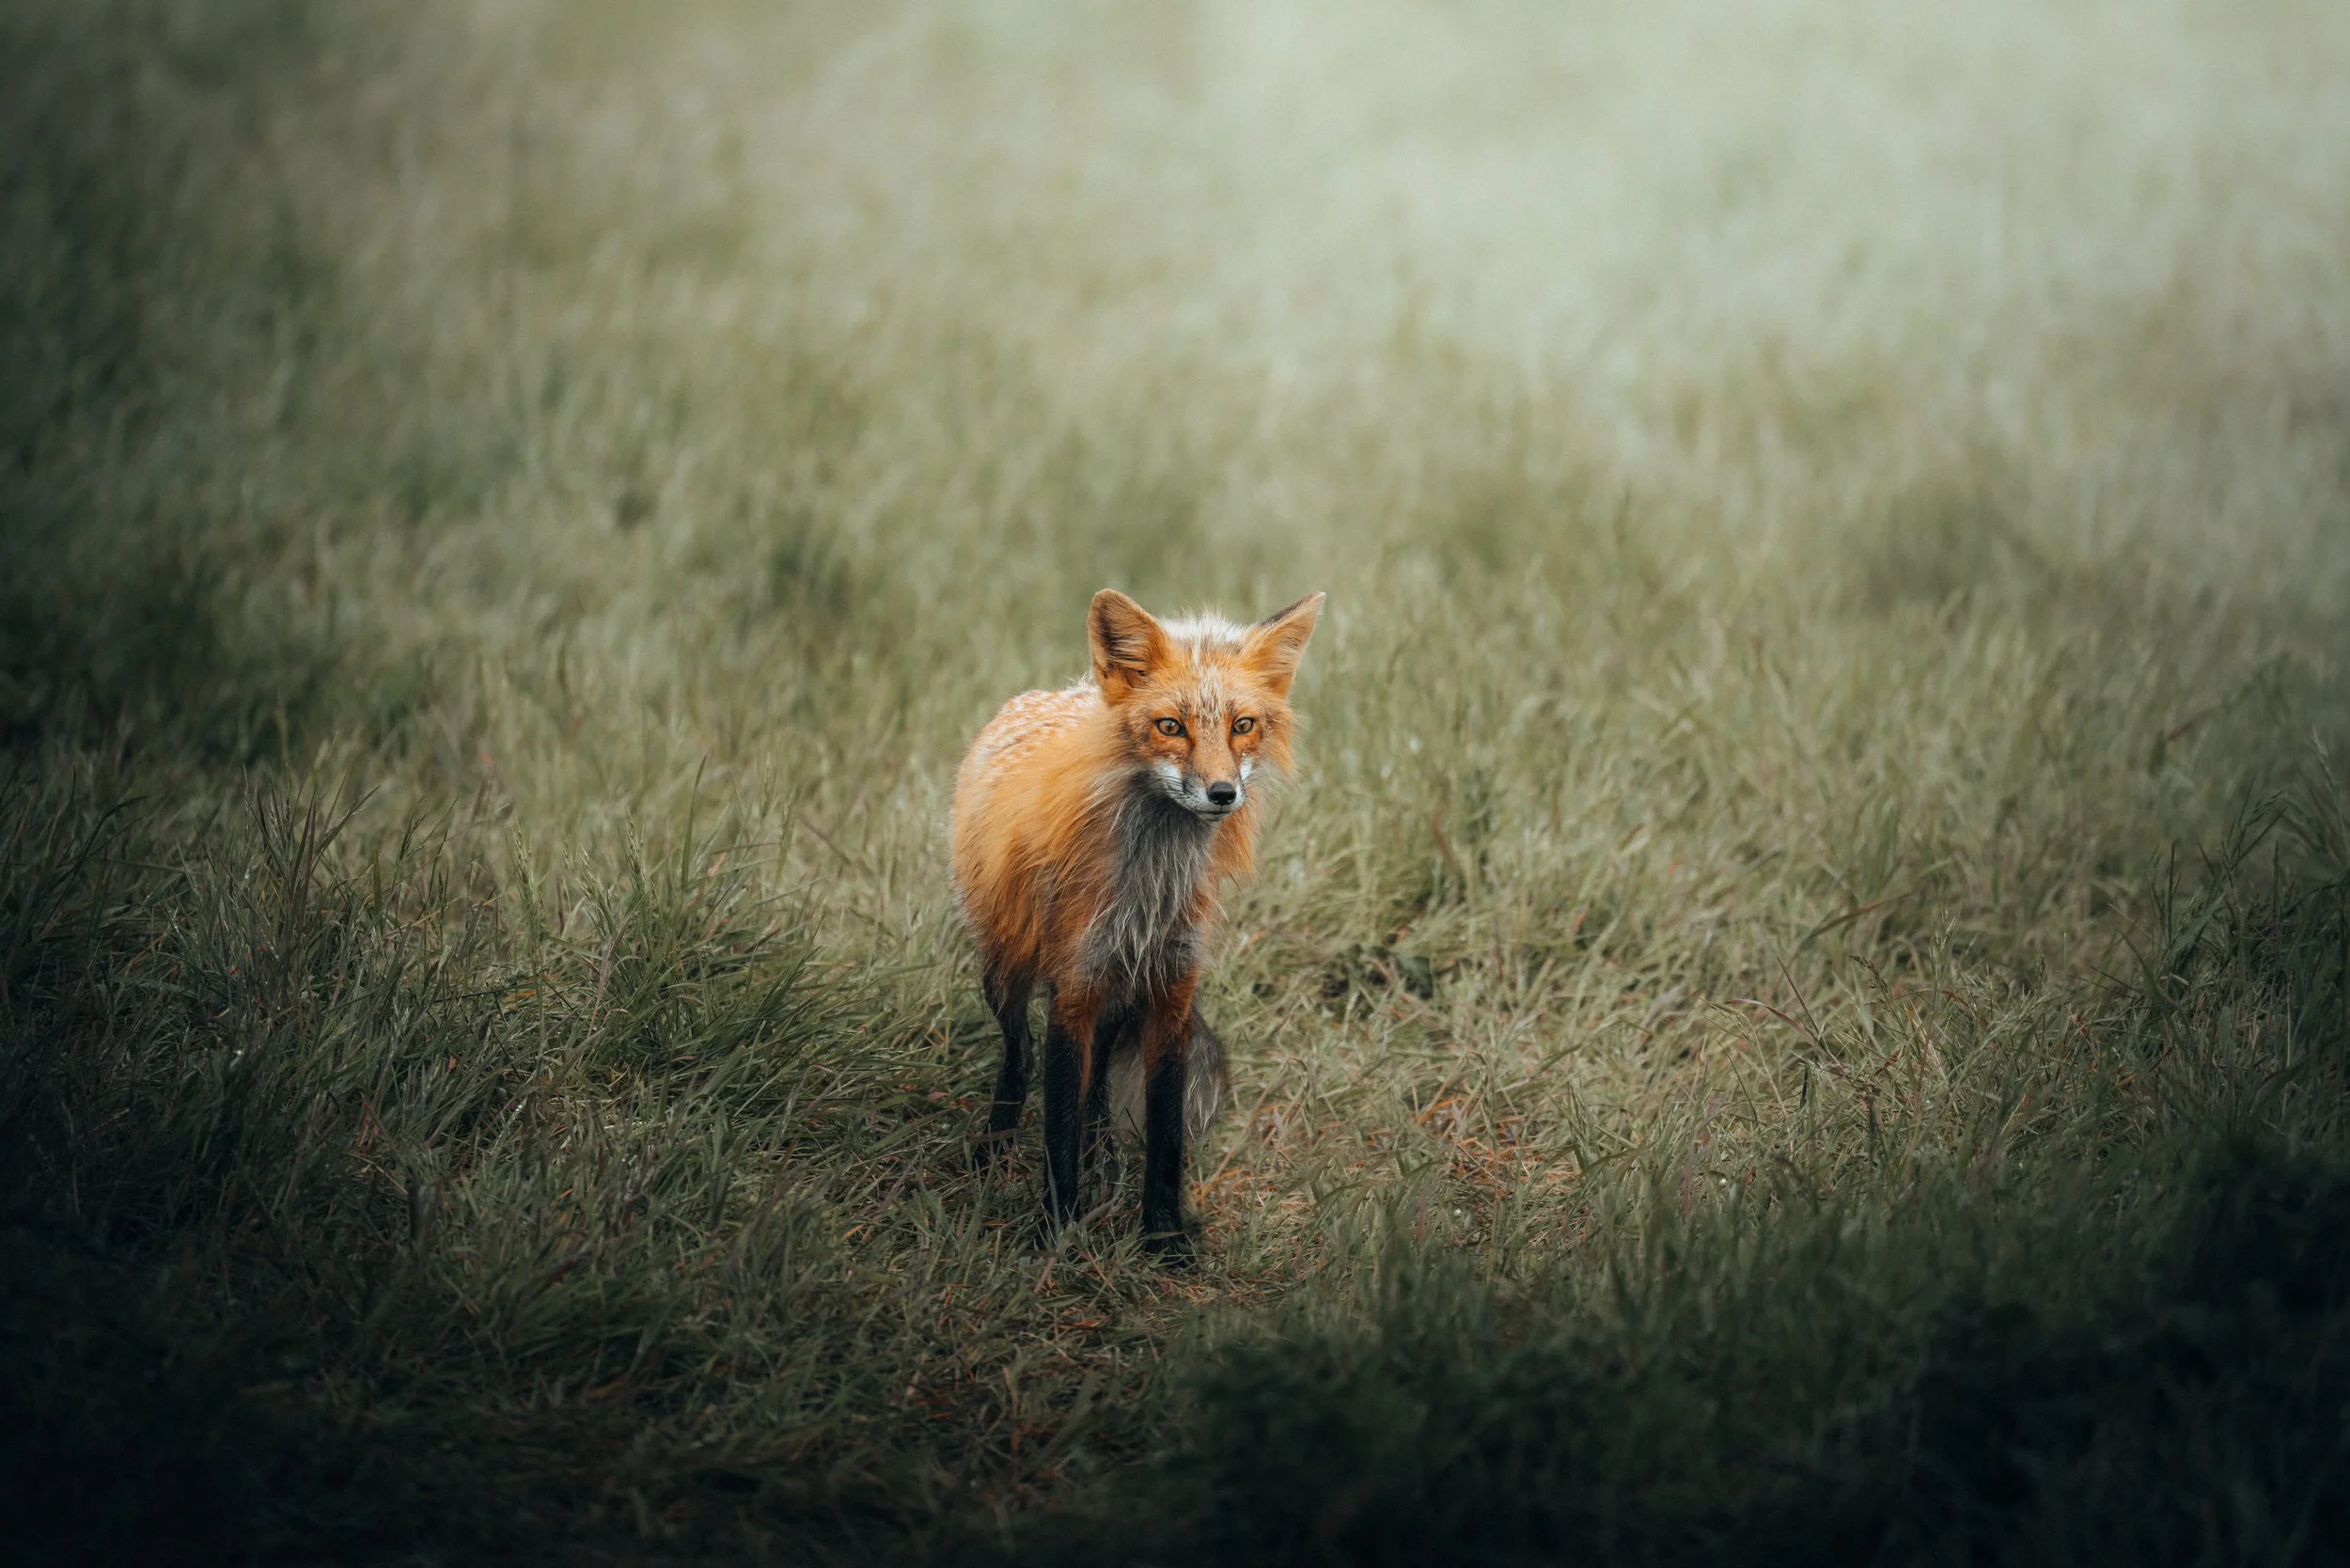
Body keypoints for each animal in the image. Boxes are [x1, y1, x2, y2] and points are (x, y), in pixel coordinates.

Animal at [951, 588, 1325, 1260]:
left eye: (1243, 725)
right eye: (1170, 726)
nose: (1222, 793)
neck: (1149, 893)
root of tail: (1054, 693)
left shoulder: (1172, 988)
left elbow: (1165, 1131)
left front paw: (1163, 1236)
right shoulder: (1074, 989)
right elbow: (1059, 1126)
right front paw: (1056, 1233)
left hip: (1122, 991)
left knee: (1098, 1082)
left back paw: (1101, 1156)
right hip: (1007, 970)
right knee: (1020, 1056)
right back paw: (995, 1150)